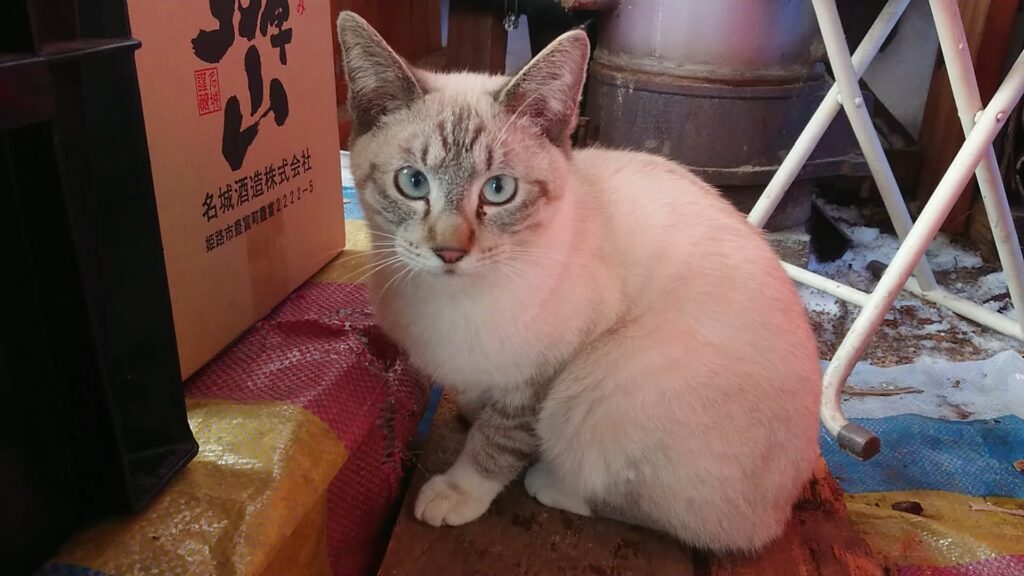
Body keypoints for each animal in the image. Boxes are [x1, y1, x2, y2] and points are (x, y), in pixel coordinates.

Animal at [336, 11, 822, 553]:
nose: (450, 252)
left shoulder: (548, 368)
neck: (452, 302)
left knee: (689, 520)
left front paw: (461, 490)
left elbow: (501, 438)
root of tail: (786, 508)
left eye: (498, 190)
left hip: (604, 384)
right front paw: (470, 408)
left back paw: (551, 482)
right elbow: (481, 399)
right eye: (413, 183)